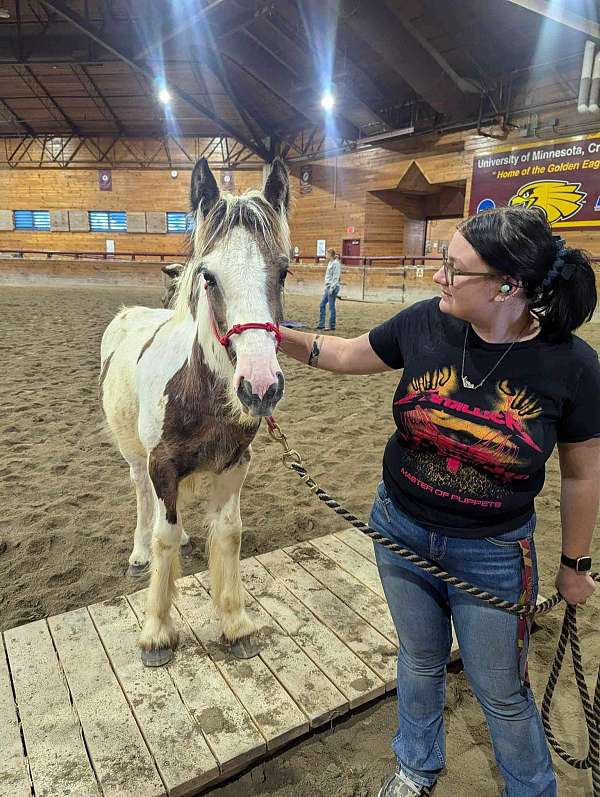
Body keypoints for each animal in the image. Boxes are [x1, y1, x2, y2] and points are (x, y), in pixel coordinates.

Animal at [99, 157, 290, 664]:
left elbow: (228, 533)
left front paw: (236, 624)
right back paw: (139, 553)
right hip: (135, 455)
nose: (260, 387)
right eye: (208, 276)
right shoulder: (161, 462)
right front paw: (156, 631)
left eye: (283, 272)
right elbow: (164, 536)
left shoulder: (234, 464)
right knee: (143, 496)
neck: (199, 394)